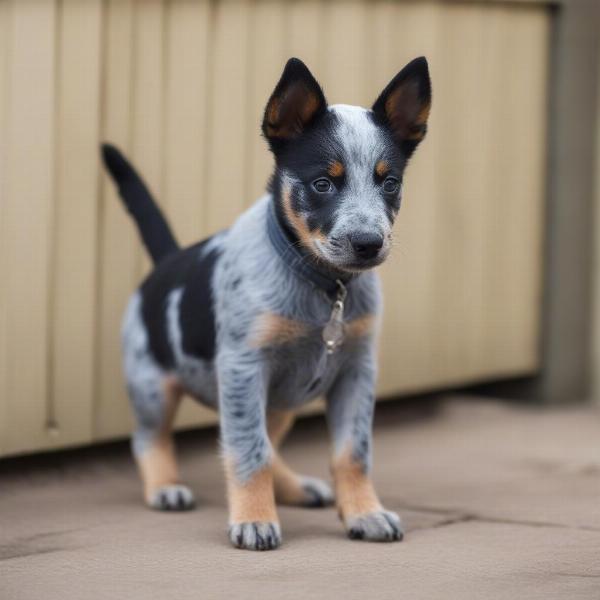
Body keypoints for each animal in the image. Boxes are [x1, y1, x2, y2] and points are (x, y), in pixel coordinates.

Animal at [102, 57, 432, 552]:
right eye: (322, 183)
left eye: (389, 182)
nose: (369, 244)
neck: (324, 287)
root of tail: (167, 261)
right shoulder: (244, 368)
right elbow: (248, 449)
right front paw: (255, 519)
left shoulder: (356, 371)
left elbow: (353, 453)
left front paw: (365, 513)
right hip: (152, 386)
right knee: (149, 439)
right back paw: (165, 487)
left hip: (282, 402)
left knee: (272, 443)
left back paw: (295, 488)